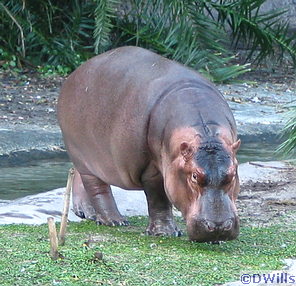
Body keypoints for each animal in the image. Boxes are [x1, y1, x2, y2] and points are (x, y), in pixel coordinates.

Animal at [57, 45, 240, 242]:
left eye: (232, 175)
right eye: (194, 176)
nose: (218, 226)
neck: (206, 134)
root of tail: (76, 73)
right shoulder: (152, 170)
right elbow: (159, 199)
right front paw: (165, 232)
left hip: (87, 157)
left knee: (79, 176)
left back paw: (88, 213)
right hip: (82, 152)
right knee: (96, 186)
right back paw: (114, 221)